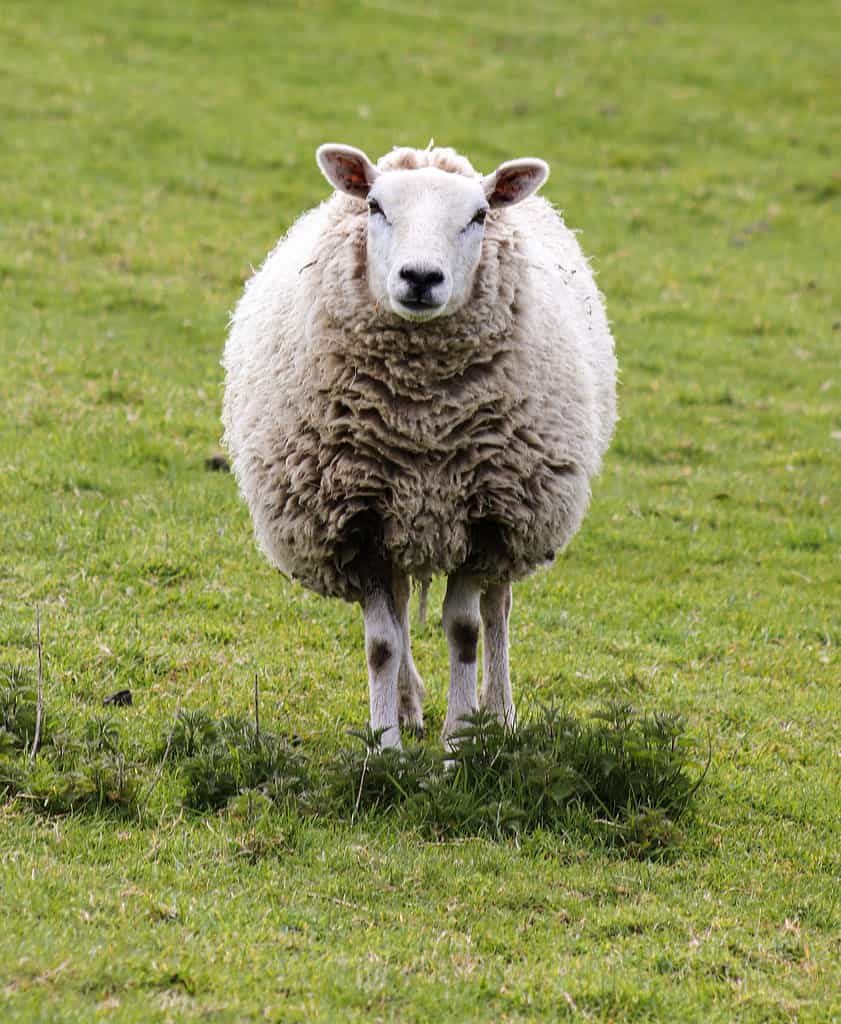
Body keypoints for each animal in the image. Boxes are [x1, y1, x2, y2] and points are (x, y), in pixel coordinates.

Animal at [222, 143, 617, 750]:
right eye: (376, 206)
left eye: (479, 214)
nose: (421, 277)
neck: (421, 421)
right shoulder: (356, 522)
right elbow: (382, 644)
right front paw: (386, 747)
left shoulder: (487, 518)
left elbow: (465, 631)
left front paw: (461, 741)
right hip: (397, 521)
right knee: (404, 606)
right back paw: (408, 707)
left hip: (517, 516)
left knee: (498, 610)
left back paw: (499, 712)